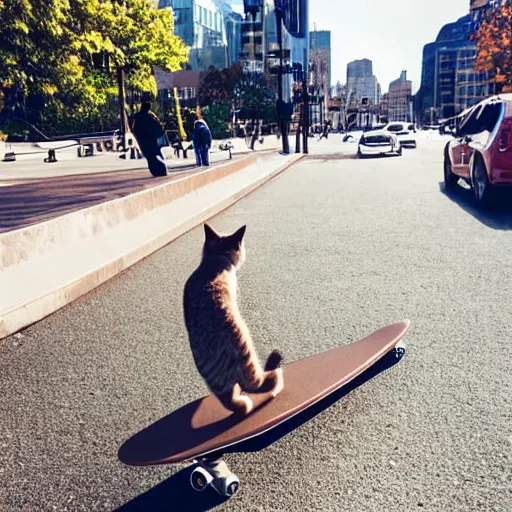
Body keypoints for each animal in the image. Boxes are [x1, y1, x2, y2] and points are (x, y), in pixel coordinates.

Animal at [184, 224, 286, 416]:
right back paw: (275, 367)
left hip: (222, 388)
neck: (215, 258)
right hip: (246, 350)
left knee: (234, 403)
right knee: (259, 384)